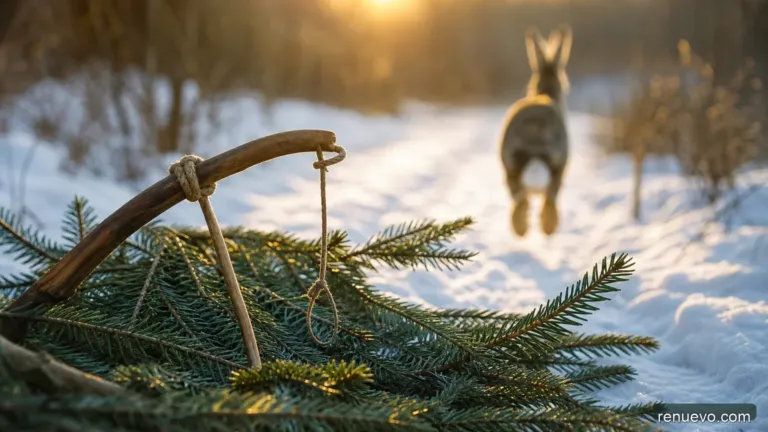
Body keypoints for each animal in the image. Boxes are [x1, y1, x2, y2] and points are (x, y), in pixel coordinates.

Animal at [500, 24, 572, 237]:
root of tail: (535, 136)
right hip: (558, 165)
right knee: (545, 200)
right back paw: (543, 228)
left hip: (510, 166)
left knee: (520, 197)